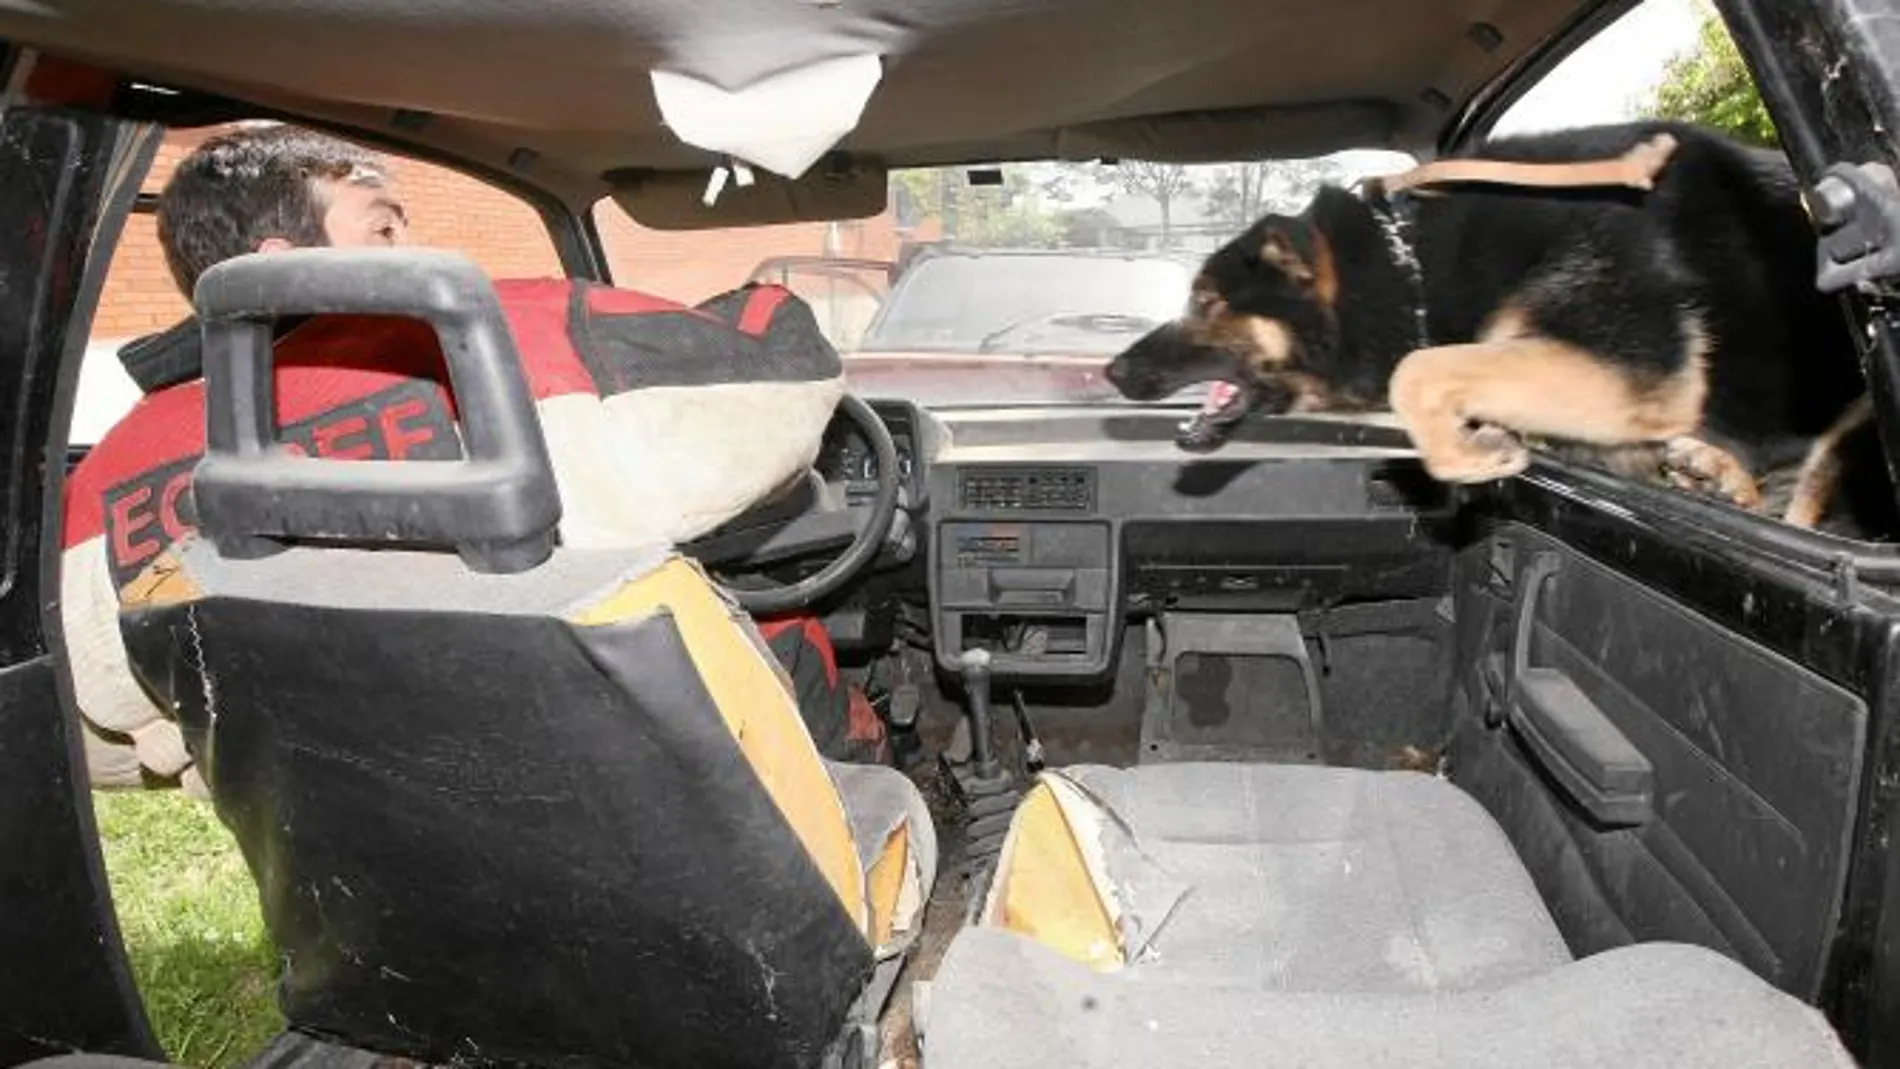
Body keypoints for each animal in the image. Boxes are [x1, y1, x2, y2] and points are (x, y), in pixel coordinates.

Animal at [1109, 120, 1877, 527]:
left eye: (1206, 301)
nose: (1112, 371)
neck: (1408, 264)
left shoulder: (1639, 367)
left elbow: (1419, 369)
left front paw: (1476, 454)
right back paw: (1715, 472)